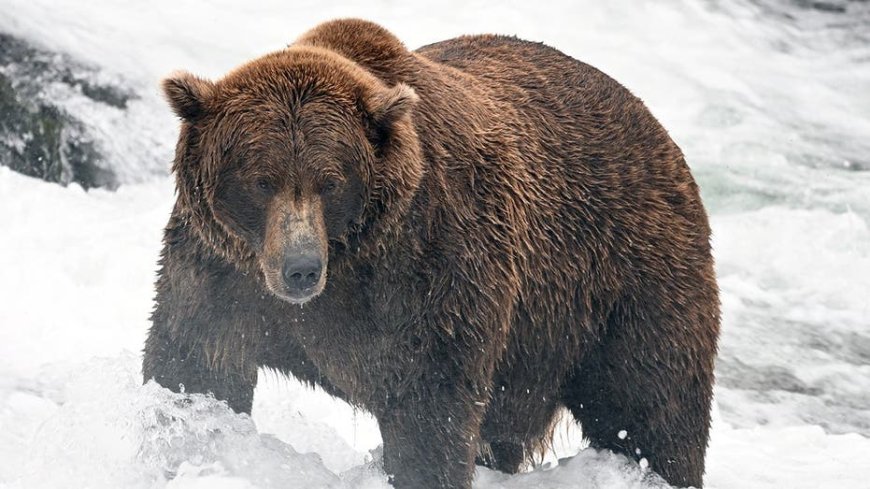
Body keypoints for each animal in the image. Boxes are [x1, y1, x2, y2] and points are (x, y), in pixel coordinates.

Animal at [143, 18, 720, 489]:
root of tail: (658, 131)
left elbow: (429, 410)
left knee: (651, 409)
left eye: (331, 181)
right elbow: (196, 364)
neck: (351, 259)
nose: (300, 270)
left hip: (622, 283)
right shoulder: (220, 270)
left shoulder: (429, 269)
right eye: (261, 179)